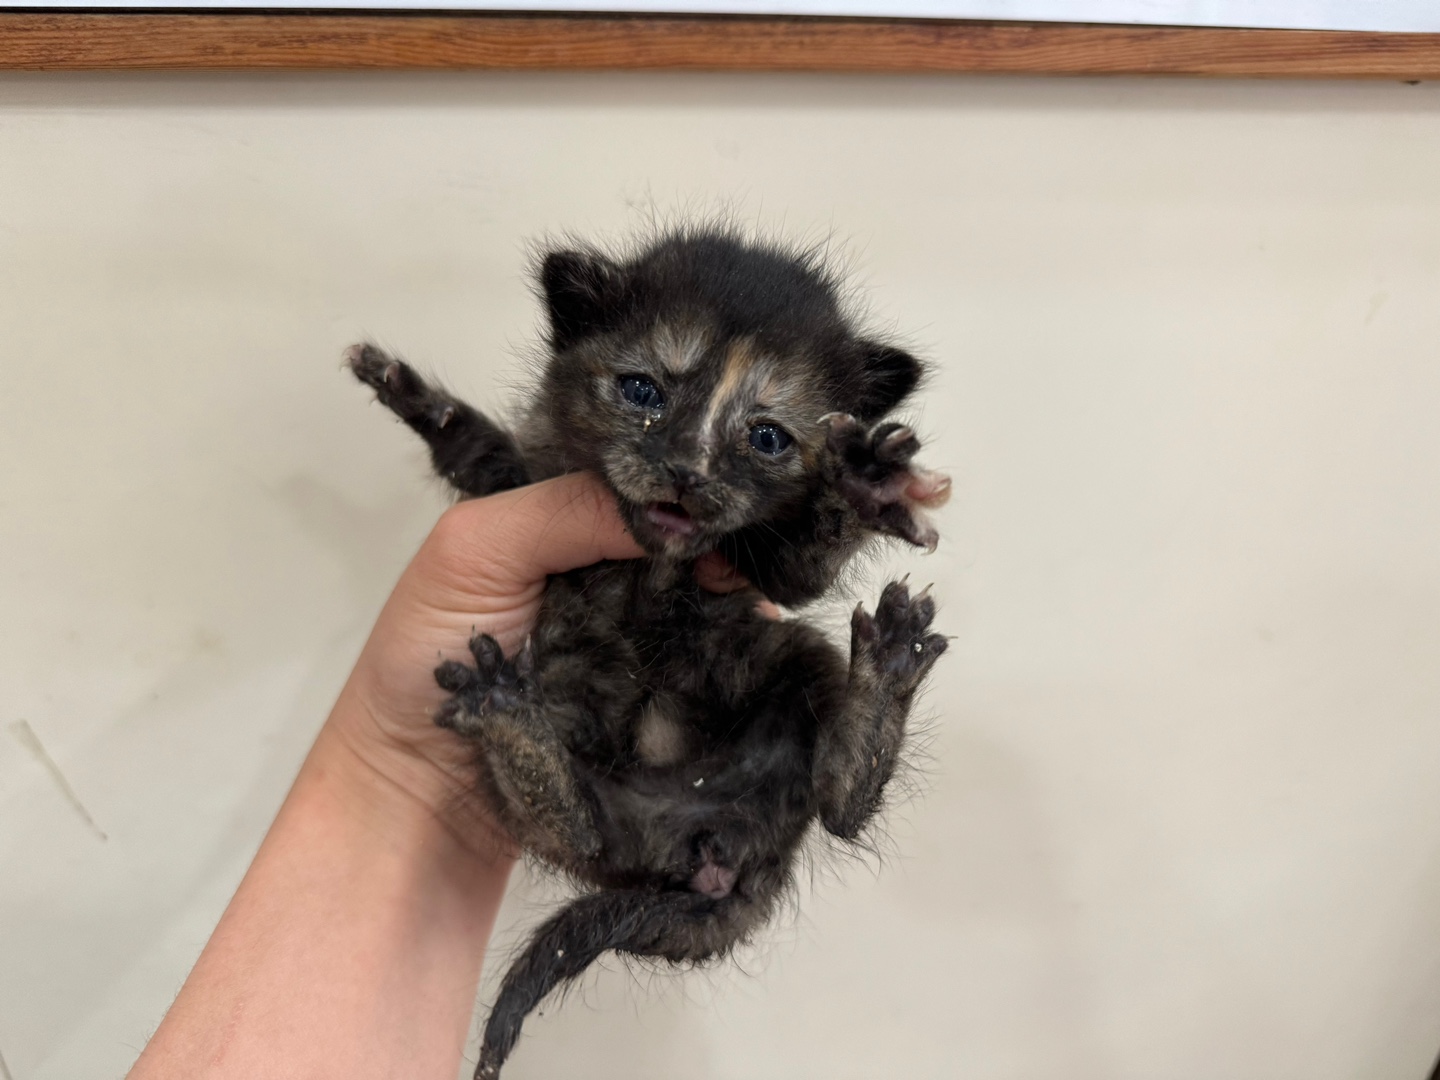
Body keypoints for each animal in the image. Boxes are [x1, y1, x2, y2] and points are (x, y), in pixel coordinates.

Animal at [347, 224, 950, 1077]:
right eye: (641, 392)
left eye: (769, 437)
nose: (688, 473)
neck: (659, 556)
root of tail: (711, 850)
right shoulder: (519, 481)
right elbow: (476, 451)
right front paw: (406, 390)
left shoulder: (775, 576)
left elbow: (809, 563)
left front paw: (859, 485)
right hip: (573, 753)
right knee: (578, 831)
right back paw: (509, 717)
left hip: (791, 669)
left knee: (837, 808)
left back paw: (887, 670)